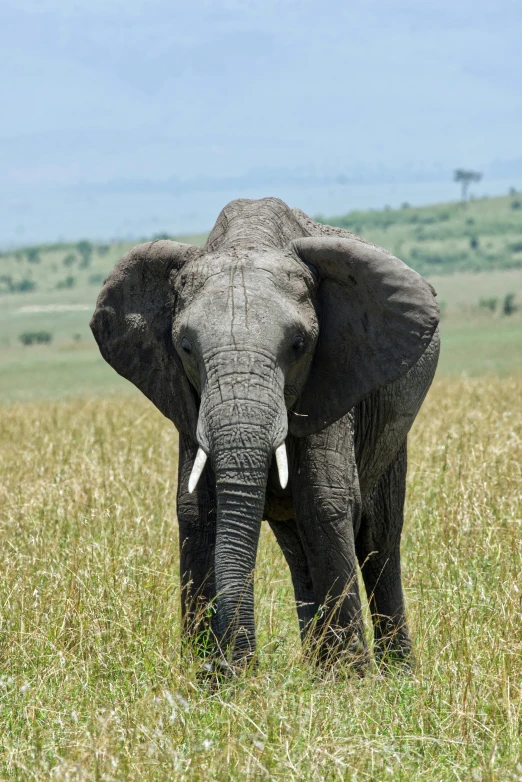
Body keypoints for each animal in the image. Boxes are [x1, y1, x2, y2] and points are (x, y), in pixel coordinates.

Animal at [90, 196, 438, 672]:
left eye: (298, 345)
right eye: (185, 347)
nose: (230, 664)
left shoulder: (335, 378)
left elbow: (324, 503)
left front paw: (353, 681)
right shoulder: (188, 401)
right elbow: (195, 510)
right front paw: (207, 681)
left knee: (378, 536)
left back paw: (394, 672)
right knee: (297, 547)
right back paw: (316, 672)